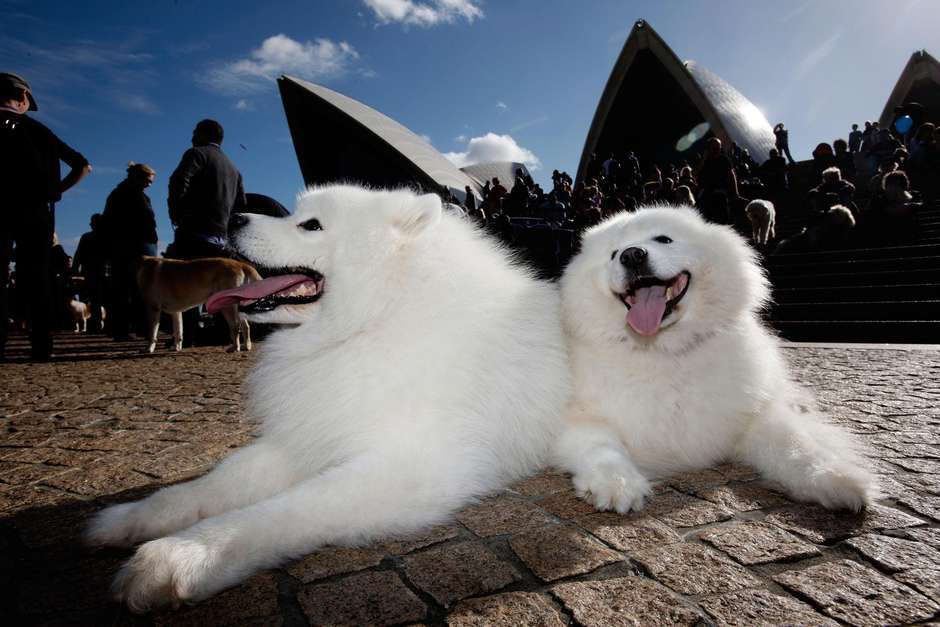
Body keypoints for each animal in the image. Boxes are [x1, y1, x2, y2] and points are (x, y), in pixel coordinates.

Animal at [88, 184, 568, 612]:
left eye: (311, 225)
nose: (235, 217)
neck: (377, 317)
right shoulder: (307, 435)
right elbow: (211, 483)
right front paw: (131, 519)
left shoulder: (414, 467)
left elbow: (282, 511)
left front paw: (181, 555)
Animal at [556, 206, 876, 516]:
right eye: (612, 254)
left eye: (664, 239)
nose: (632, 254)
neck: (664, 351)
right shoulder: (581, 419)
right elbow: (603, 449)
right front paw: (617, 484)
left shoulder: (753, 415)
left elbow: (796, 445)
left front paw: (836, 479)